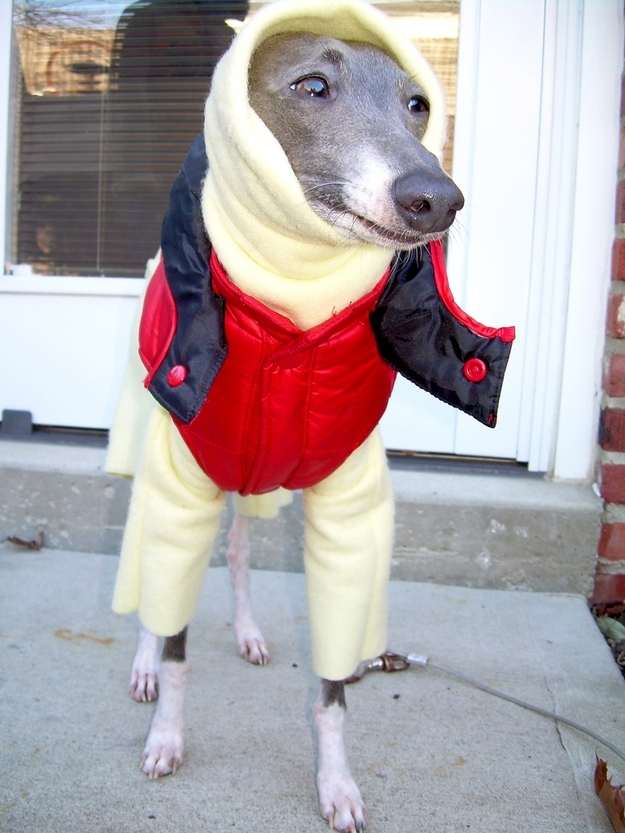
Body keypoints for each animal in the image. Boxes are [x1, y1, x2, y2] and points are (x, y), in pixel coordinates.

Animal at [109, 3, 510, 828]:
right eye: (312, 85)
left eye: (415, 104)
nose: (436, 199)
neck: (291, 320)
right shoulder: (181, 484)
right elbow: (176, 642)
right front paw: (166, 733)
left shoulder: (344, 511)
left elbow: (330, 692)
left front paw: (336, 783)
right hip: (155, 457)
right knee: (148, 578)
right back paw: (142, 663)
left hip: (248, 486)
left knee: (234, 553)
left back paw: (250, 631)